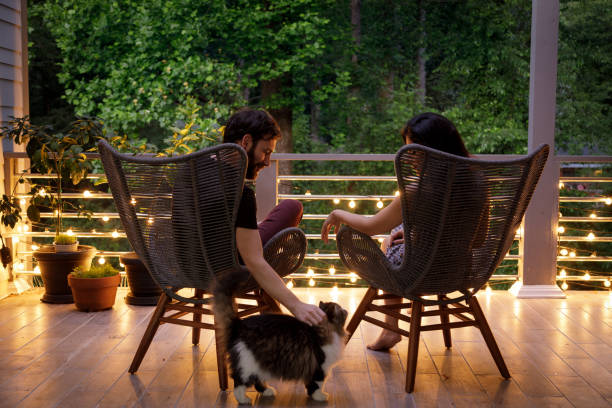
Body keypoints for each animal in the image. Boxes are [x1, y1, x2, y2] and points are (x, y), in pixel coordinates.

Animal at [214, 286, 350, 404]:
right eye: (341, 309)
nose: (346, 309)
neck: (320, 330)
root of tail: (239, 324)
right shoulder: (320, 366)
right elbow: (317, 384)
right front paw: (319, 396)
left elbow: (310, 384)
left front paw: (312, 395)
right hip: (247, 364)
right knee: (239, 382)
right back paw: (243, 399)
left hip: (259, 365)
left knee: (257, 381)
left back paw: (267, 391)